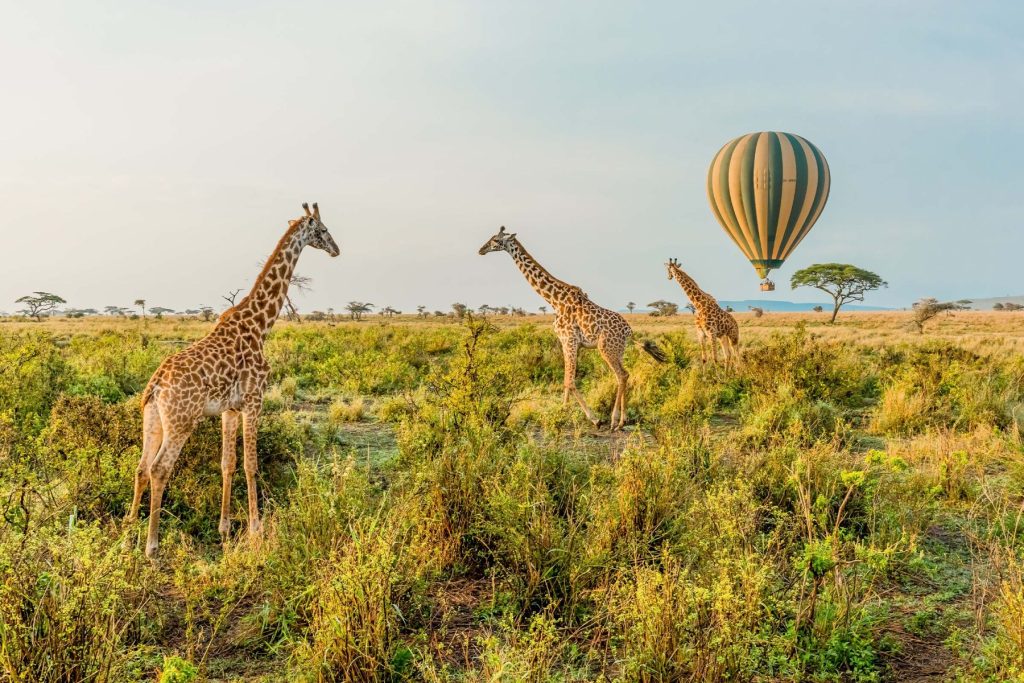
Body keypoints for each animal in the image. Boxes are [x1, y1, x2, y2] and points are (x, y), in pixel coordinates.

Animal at [126, 203, 339, 557]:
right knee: (159, 469)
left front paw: (224, 529)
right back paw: (152, 547)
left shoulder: (229, 408)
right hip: (181, 422)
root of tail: (155, 386)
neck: (260, 326)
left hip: (153, 418)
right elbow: (251, 464)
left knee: (142, 467)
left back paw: (129, 527)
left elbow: (228, 463)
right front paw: (256, 530)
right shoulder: (255, 400)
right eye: (322, 230)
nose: (337, 249)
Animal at [479, 227, 666, 430]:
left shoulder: (569, 340)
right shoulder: (569, 343)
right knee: (625, 375)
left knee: (622, 375)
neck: (554, 300)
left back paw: (614, 420)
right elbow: (566, 380)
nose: (481, 250)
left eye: (496, 240)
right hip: (618, 350)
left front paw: (593, 419)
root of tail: (629, 332)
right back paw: (623, 421)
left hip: (606, 348)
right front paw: (563, 411)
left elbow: (570, 380)